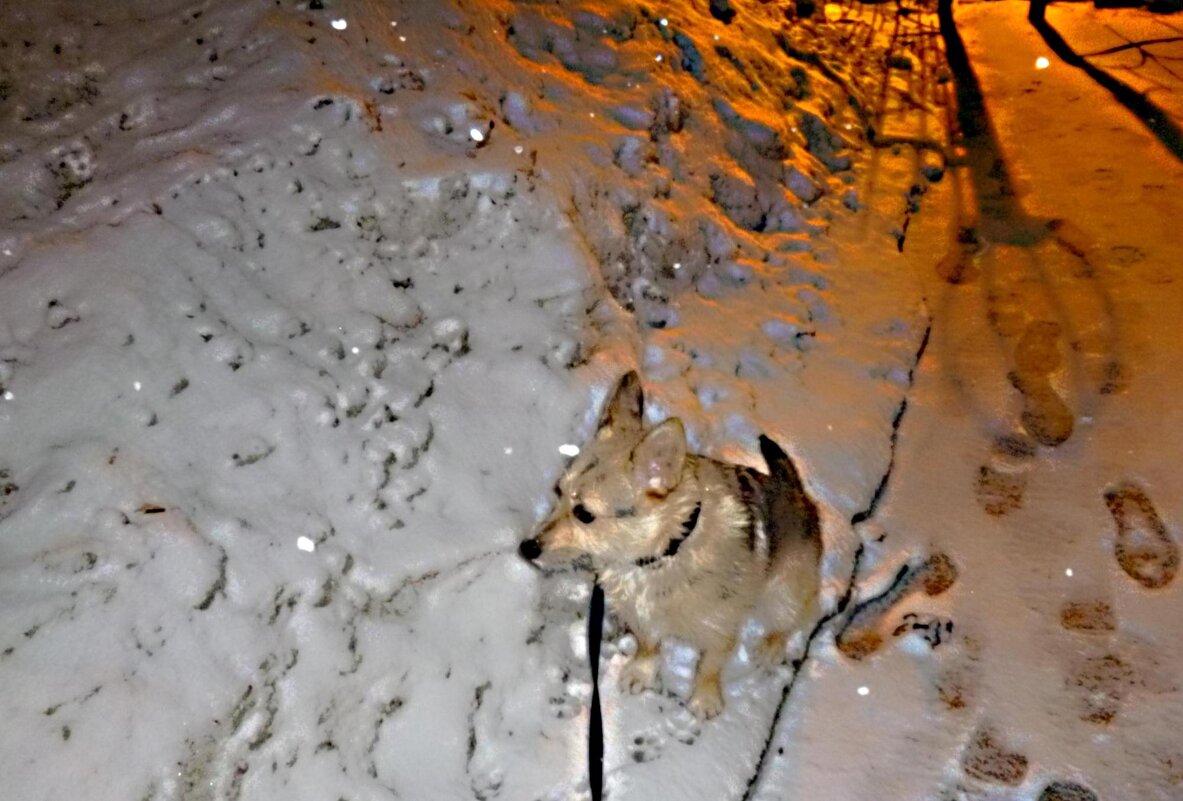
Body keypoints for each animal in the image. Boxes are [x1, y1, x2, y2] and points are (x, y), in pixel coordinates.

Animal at [520, 371, 823, 714]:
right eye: (557, 491)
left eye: (584, 514)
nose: (527, 547)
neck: (663, 553)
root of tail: (798, 492)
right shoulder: (640, 618)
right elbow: (648, 648)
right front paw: (642, 673)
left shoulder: (721, 626)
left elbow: (710, 665)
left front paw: (705, 699)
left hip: (785, 593)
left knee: (790, 621)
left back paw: (772, 647)